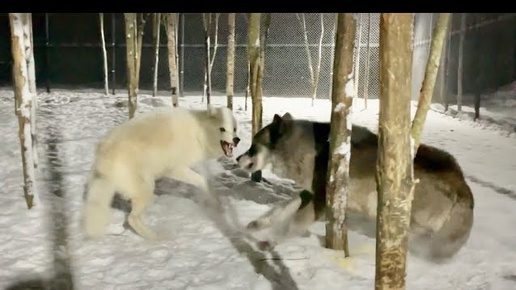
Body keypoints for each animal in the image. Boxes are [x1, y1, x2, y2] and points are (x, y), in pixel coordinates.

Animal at [81, 105, 241, 240]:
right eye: (222, 129)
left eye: (234, 129)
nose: (236, 140)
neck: (199, 132)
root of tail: (104, 151)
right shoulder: (176, 169)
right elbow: (202, 181)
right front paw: (215, 205)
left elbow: (206, 183)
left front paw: (217, 204)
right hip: (146, 190)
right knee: (131, 219)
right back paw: (156, 237)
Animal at [236, 112, 474, 262]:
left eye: (252, 146)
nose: (237, 158)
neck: (305, 151)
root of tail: (462, 182)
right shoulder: (310, 195)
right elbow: (280, 210)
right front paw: (257, 225)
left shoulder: (320, 203)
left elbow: (291, 225)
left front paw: (268, 242)